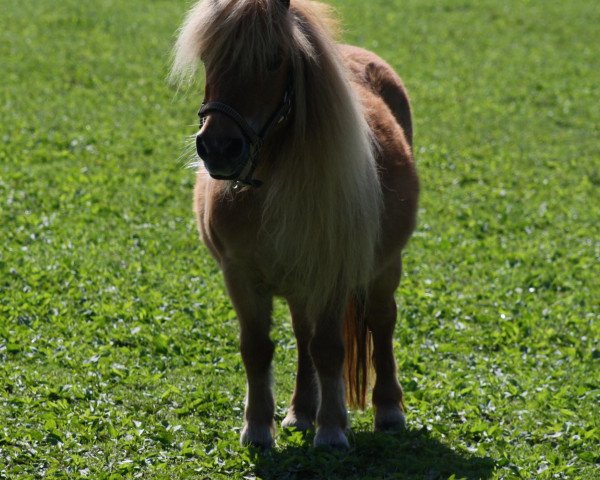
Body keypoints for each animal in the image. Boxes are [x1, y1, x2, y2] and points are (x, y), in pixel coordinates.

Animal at [171, 0, 420, 450]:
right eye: (209, 56)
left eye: (274, 60)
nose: (218, 147)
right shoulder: (240, 275)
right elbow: (257, 348)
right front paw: (257, 428)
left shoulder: (333, 272)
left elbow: (329, 349)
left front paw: (332, 429)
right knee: (303, 335)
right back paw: (300, 412)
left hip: (383, 268)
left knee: (381, 320)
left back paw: (388, 410)